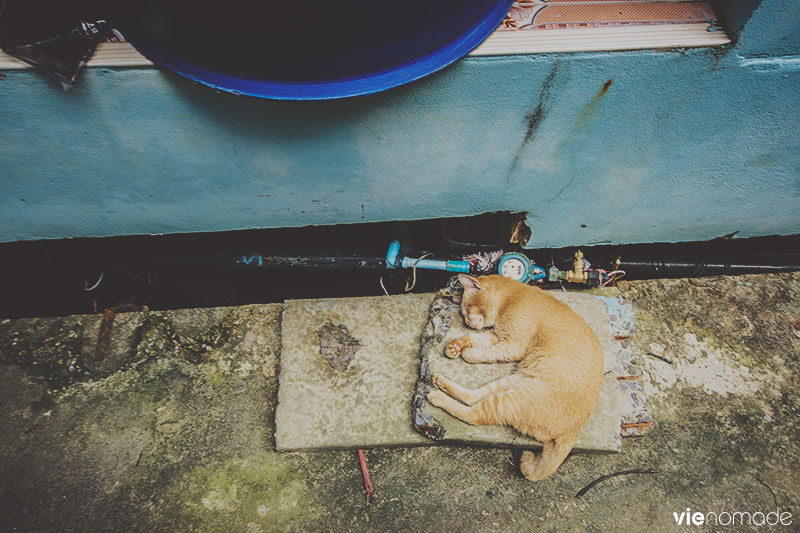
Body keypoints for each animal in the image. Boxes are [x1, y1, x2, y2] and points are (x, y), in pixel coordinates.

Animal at [428, 274, 604, 478]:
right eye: (463, 314)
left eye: (468, 308)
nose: (468, 323)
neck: (511, 299)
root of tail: (573, 432)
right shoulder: (497, 336)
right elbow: (475, 339)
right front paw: (455, 346)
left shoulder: (512, 344)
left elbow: (481, 352)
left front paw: (466, 353)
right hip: (510, 383)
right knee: (472, 397)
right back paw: (439, 382)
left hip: (509, 397)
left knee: (473, 415)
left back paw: (436, 396)